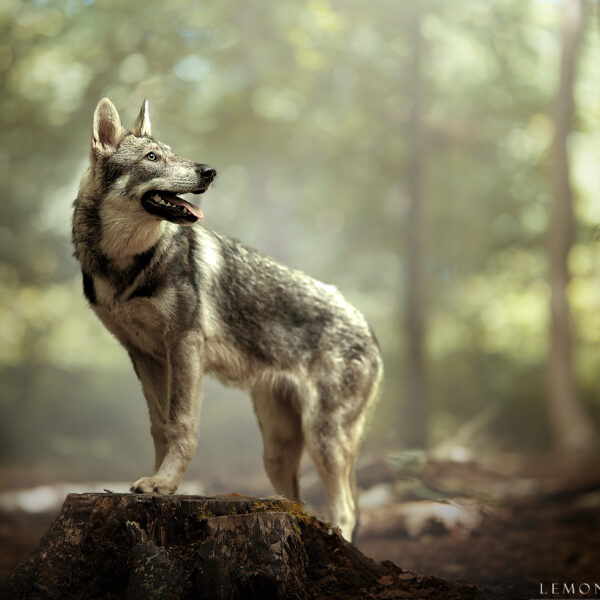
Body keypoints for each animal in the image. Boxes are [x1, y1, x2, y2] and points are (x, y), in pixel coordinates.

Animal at [72, 98, 382, 540]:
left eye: (172, 153)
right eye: (152, 157)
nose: (209, 172)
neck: (128, 265)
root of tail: (366, 325)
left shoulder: (185, 344)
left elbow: (181, 424)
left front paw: (165, 483)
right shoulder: (145, 356)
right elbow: (159, 426)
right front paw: (156, 483)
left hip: (324, 440)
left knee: (347, 509)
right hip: (277, 449)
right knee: (299, 501)